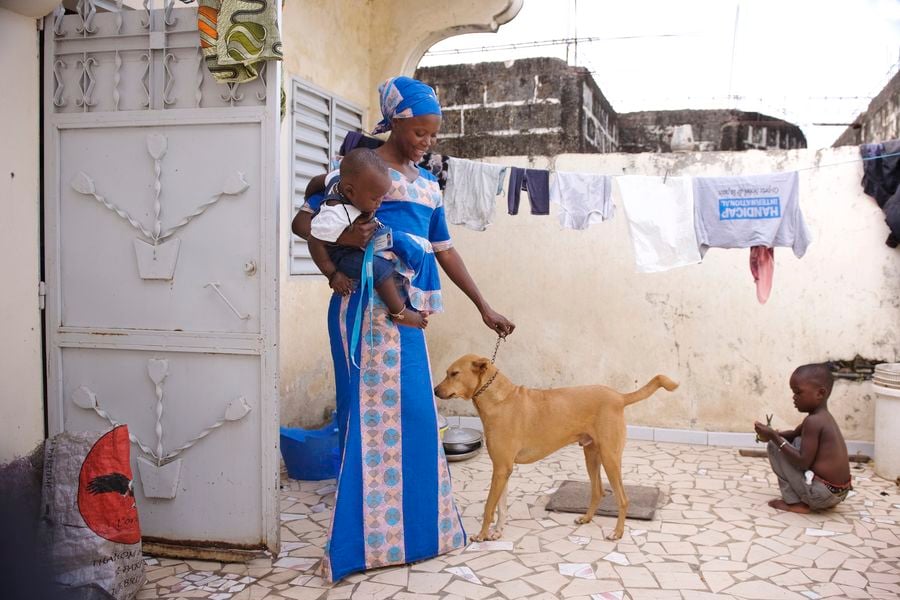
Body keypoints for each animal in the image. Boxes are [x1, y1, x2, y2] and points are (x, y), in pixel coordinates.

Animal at [434, 354, 676, 540]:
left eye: (454, 373)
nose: (435, 391)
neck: (500, 400)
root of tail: (619, 397)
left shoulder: (502, 468)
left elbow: (488, 508)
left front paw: (482, 535)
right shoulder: (502, 468)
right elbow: (501, 506)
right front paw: (497, 532)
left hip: (610, 458)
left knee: (623, 499)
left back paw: (617, 533)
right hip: (591, 455)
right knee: (598, 491)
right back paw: (587, 518)